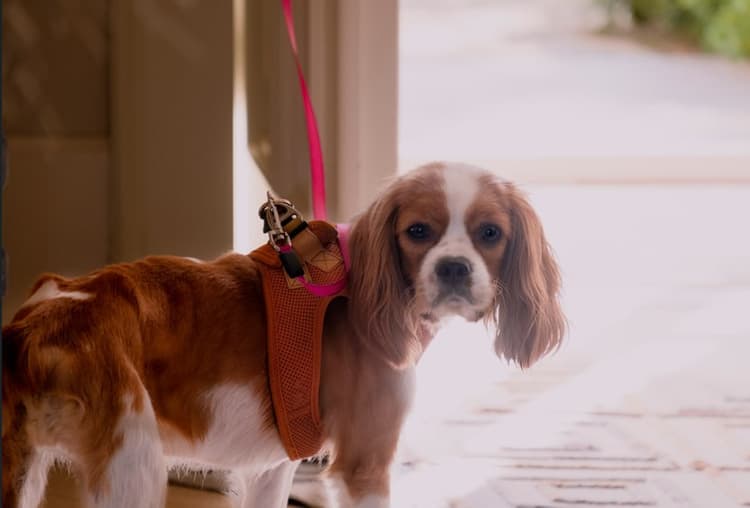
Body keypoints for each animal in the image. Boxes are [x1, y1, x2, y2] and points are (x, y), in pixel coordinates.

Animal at [2, 162, 565, 508]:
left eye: (490, 234)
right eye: (418, 232)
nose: (453, 269)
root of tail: (30, 325)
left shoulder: (273, 468)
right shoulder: (365, 461)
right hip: (132, 468)